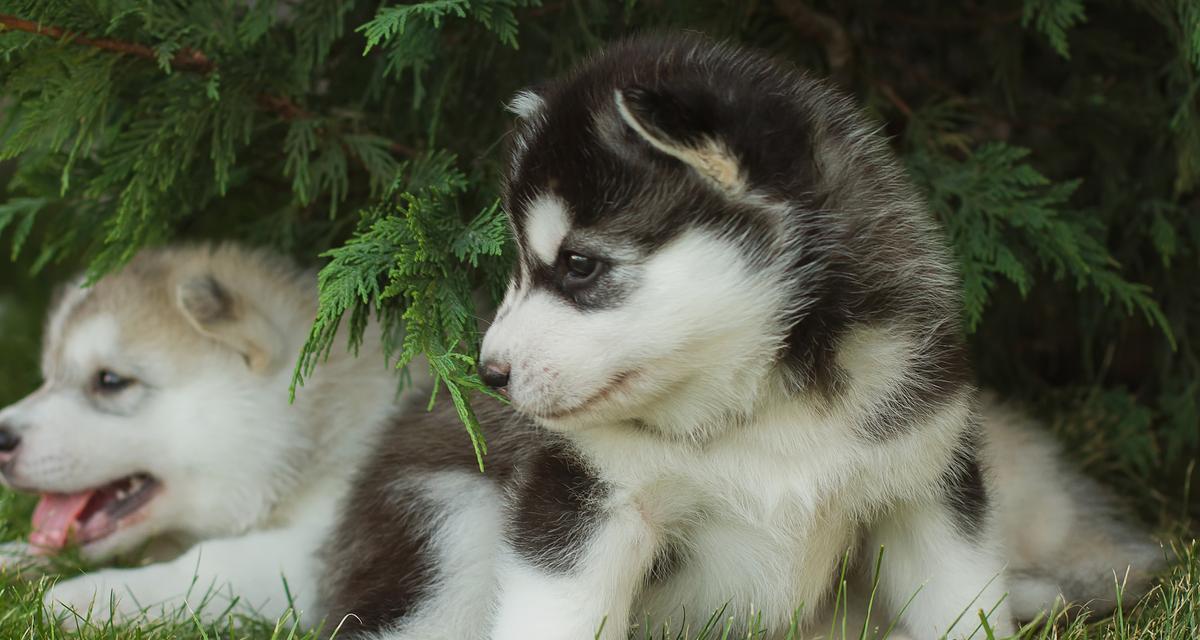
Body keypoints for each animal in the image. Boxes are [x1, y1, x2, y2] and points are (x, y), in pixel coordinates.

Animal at [321, 36, 1161, 638]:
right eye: (522, 265)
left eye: (581, 265)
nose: (487, 374)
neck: (764, 405)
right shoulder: (583, 502)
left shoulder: (926, 488)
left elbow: (959, 608)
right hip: (454, 519)